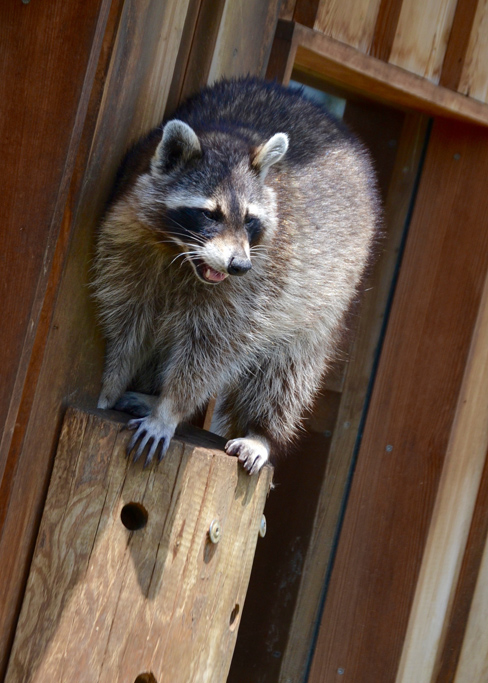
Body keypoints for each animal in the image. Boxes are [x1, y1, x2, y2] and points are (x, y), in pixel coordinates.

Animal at [93, 77, 380, 476]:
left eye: (249, 219)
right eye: (210, 214)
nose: (238, 266)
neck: (181, 257)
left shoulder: (256, 283)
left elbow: (215, 351)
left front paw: (170, 408)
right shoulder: (127, 241)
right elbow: (128, 322)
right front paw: (112, 384)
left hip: (329, 290)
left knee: (289, 367)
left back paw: (261, 429)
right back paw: (150, 392)